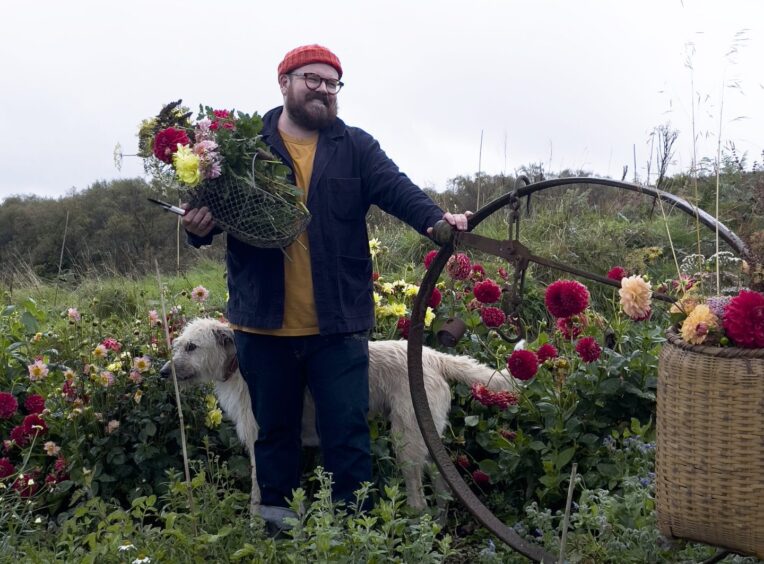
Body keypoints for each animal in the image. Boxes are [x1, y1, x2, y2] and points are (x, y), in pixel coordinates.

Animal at [163, 320, 520, 512]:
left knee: (418, 494)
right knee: (442, 484)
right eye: (178, 344)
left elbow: (258, 491)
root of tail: (433, 356)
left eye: (192, 346)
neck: (237, 366)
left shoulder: (262, 442)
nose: (164, 371)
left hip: (406, 440)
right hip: (424, 436)